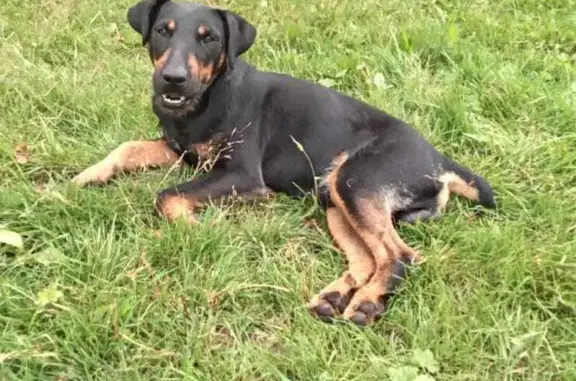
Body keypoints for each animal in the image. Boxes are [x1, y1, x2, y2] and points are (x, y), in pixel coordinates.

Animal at [72, 0, 496, 326]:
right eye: (163, 30)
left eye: (209, 38)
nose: (172, 80)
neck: (207, 99)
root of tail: (438, 159)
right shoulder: (178, 149)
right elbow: (127, 147)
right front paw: (87, 175)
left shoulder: (241, 175)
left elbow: (167, 195)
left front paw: (197, 228)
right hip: (335, 199)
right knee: (366, 258)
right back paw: (335, 297)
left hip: (356, 180)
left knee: (401, 256)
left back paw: (366, 303)